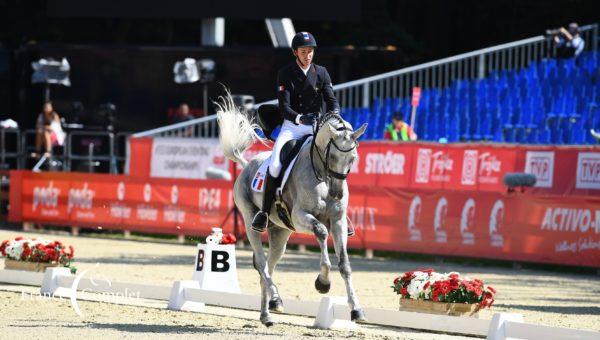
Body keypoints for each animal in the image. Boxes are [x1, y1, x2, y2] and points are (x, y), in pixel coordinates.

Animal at [216, 93, 366, 326]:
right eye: (332, 157)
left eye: (353, 158)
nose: (337, 194)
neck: (322, 175)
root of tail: (247, 165)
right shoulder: (300, 216)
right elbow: (321, 232)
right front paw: (323, 282)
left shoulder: (338, 221)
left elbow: (345, 265)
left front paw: (356, 310)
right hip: (251, 221)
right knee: (262, 263)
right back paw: (275, 299)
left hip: (280, 233)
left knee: (268, 267)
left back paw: (267, 313)